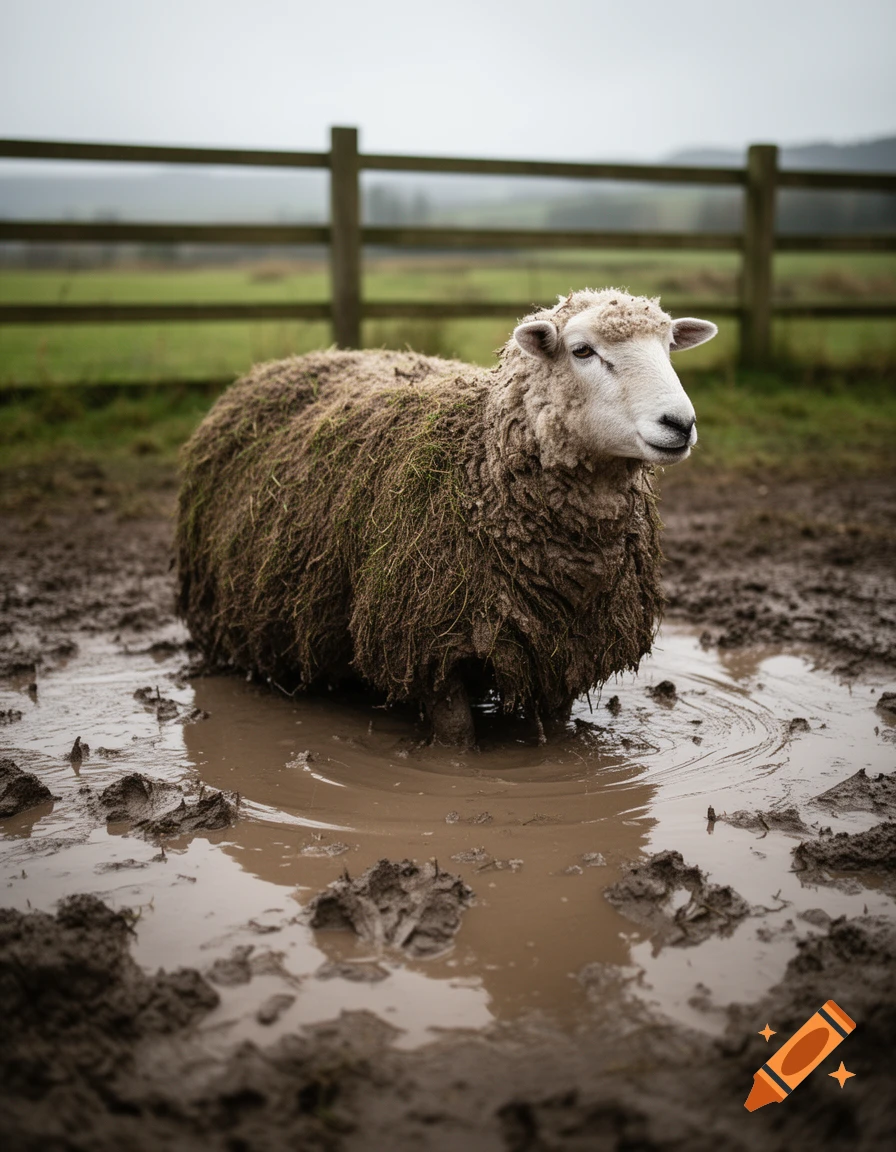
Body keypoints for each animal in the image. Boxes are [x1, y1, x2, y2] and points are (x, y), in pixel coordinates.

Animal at [176, 288, 716, 748]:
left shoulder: (566, 645)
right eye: (582, 351)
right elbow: (456, 739)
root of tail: (280, 365)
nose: (680, 423)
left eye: (669, 346)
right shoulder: (426, 640)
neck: (481, 464)